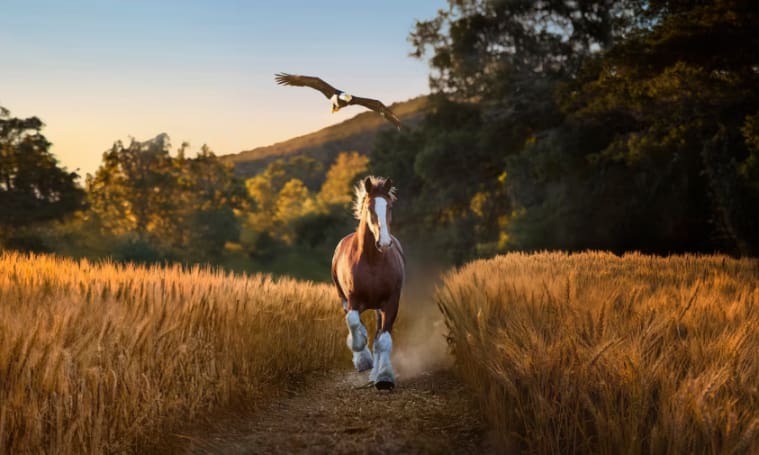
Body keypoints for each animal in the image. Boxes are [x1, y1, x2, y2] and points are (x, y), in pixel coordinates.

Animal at [331, 176, 405, 390]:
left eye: (389, 206)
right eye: (370, 207)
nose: (384, 243)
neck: (372, 260)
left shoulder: (391, 302)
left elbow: (383, 340)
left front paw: (384, 377)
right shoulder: (352, 301)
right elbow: (354, 323)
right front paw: (362, 357)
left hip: (379, 308)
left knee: (379, 335)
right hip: (343, 298)